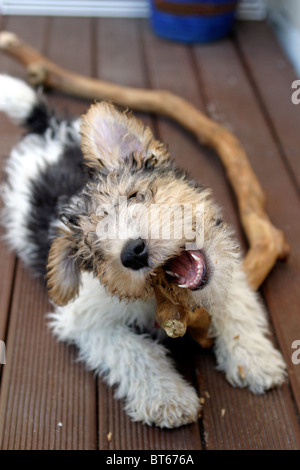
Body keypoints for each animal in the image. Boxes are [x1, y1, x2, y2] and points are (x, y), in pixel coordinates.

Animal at [0, 74, 286, 430]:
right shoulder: (84, 319)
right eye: (94, 250)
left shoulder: (226, 265)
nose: (133, 252)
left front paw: (254, 358)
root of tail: (48, 129)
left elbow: (237, 307)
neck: (162, 299)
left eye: (135, 195)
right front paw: (168, 399)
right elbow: (134, 351)